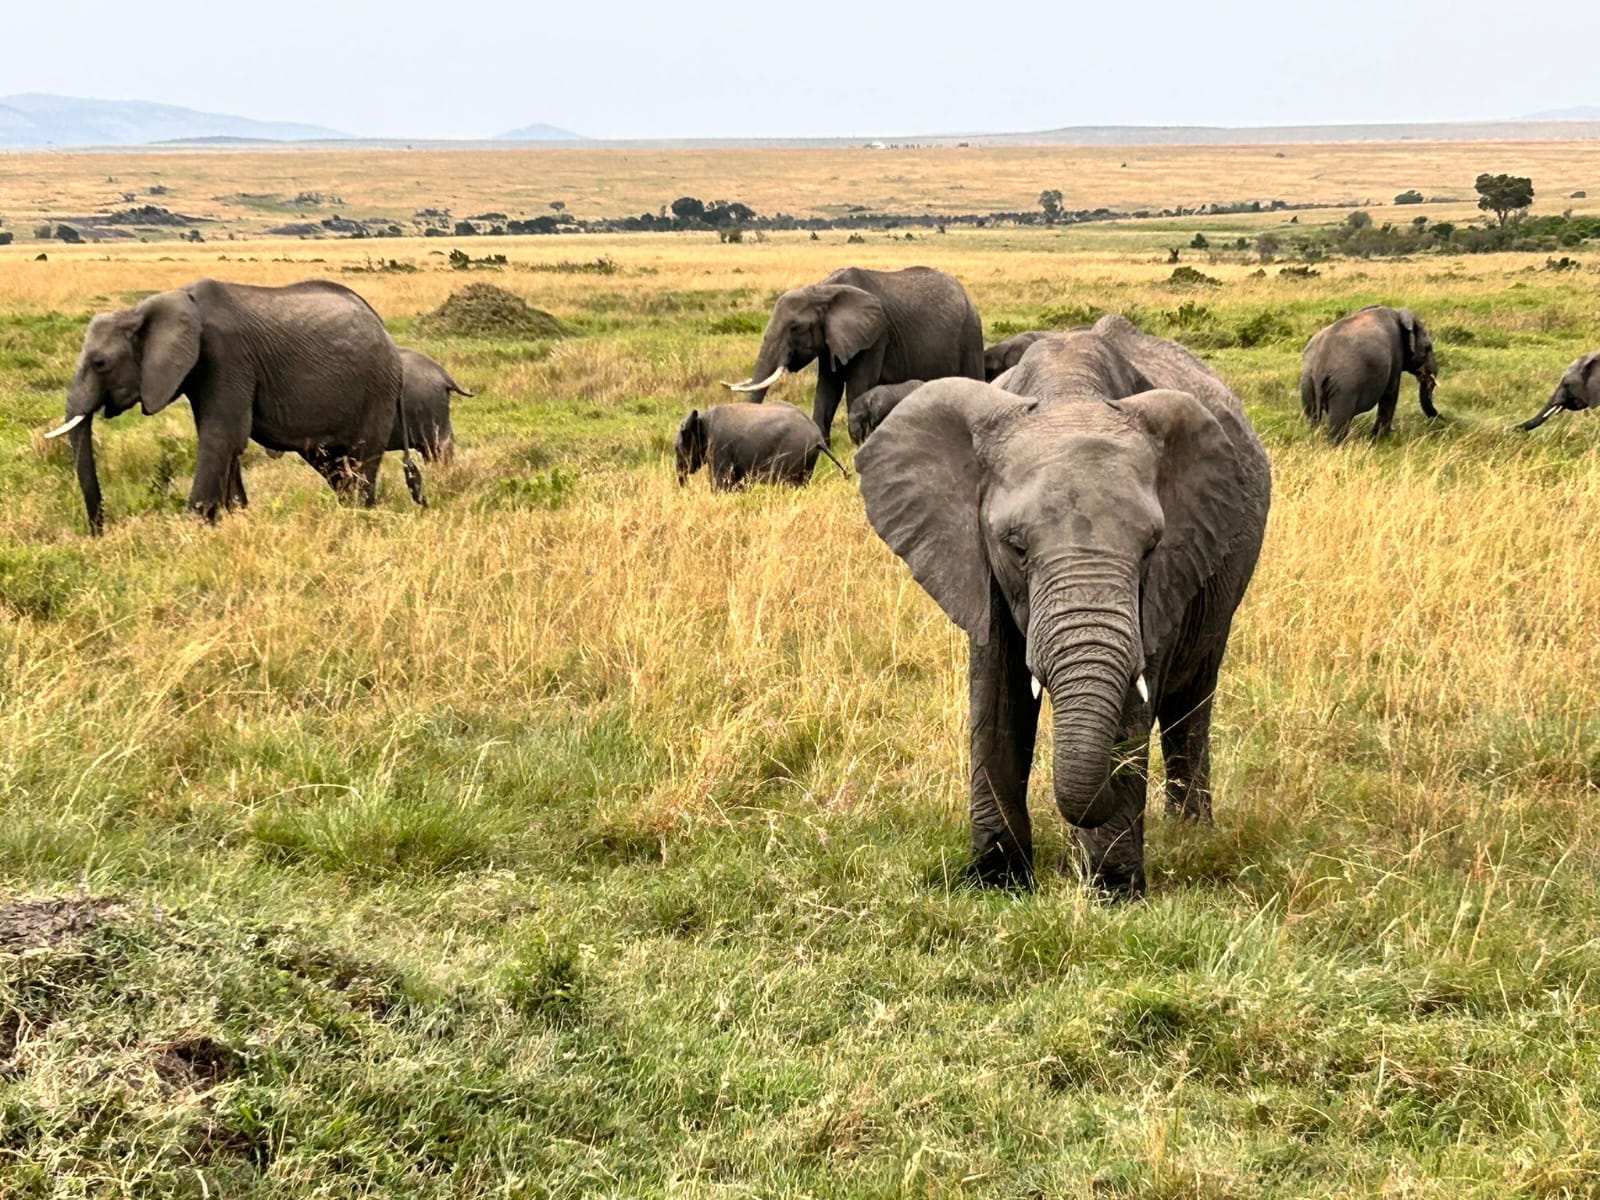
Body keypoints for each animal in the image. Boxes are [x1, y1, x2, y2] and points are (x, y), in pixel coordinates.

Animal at [44, 279, 421, 533]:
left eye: (100, 363)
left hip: (378, 388)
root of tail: (383, 328)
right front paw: (231, 519)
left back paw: (360, 515)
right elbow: (226, 444)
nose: (99, 531)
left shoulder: (226, 356)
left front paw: (195, 530)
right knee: (331, 463)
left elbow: (221, 438)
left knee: (361, 457)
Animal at [676, 400, 848, 490]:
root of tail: (818, 437)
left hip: (792, 451)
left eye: (677, 449)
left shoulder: (719, 446)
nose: (685, 488)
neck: (701, 419)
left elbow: (720, 482)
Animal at [723, 265, 984, 443]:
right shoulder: (831, 339)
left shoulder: (876, 335)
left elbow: (858, 385)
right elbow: (828, 388)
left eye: (795, 327)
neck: (823, 291)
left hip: (970, 333)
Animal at [858, 314, 1271, 896]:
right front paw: (996, 880)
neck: (1071, 392)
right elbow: (998, 695)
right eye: (1014, 545)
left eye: (1152, 547)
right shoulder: (975, 562)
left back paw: (1191, 836)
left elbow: (1133, 703)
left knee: (1190, 705)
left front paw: (1113, 891)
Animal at [1300, 305, 1439, 441]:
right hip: (1344, 387)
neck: (1399, 315)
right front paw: (1380, 440)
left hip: (1307, 382)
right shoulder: (1396, 354)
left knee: (1312, 416)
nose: (1440, 419)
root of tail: (1318, 368)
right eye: (1428, 348)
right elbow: (1390, 394)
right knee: (1339, 420)